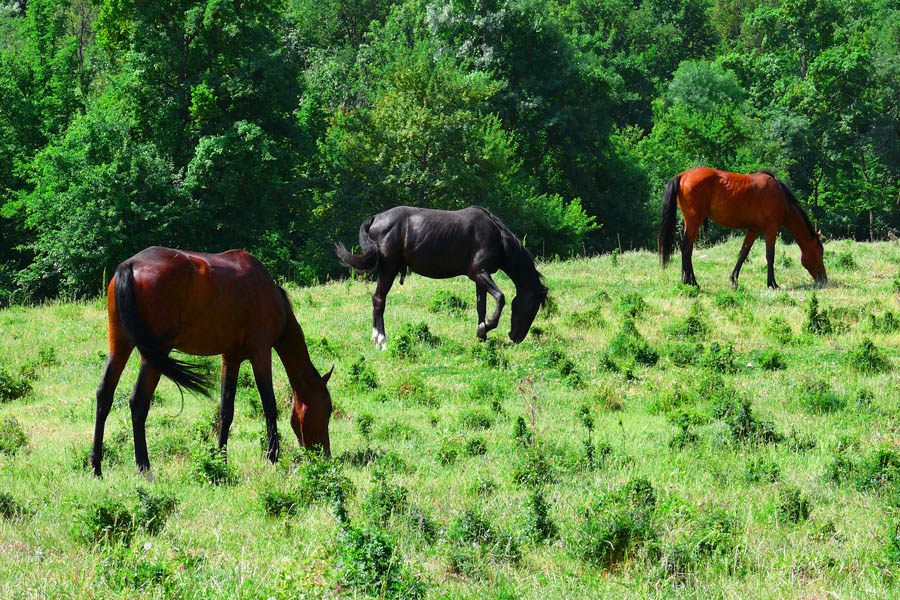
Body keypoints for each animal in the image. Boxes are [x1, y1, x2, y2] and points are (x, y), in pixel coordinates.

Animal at [90, 247, 334, 478]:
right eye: (327, 409)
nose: (326, 456)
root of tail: (130, 266)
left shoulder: (231, 358)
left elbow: (226, 410)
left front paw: (221, 459)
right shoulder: (261, 352)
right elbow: (269, 405)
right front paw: (272, 457)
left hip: (120, 344)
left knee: (105, 395)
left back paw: (96, 467)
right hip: (154, 354)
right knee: (139, 402)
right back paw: (144, 468)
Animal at [336, 206, 548, 346]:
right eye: (532, 307)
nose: (516, 338)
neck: (496, 237)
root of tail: (375, 218)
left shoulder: (479, 278)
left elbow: (481, 307)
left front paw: (482, 334)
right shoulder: (479, 273)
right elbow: (500, 298)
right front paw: (486, 327)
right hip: (389, 268)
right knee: (379, 300)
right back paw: (381, 338)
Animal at [656, 166, 828, 288]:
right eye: (820, 252)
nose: (824, 279)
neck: (781, 197)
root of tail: (683, 175)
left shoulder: (754, 229)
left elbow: (743, 253)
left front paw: (733, 280)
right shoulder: (771, 229)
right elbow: (770, 256)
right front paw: (772, 284)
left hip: (689, 221)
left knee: (687, 248)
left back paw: (687, 280)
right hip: (694, 221)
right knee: (686, 248)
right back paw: (691, 282)